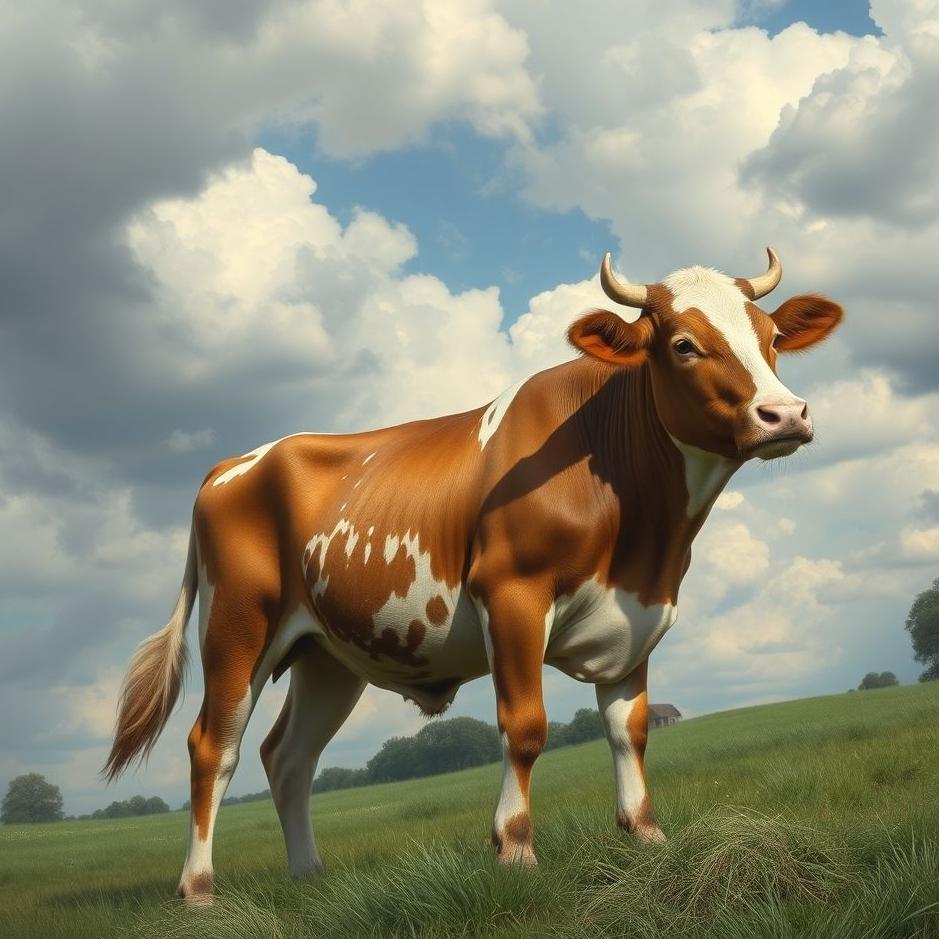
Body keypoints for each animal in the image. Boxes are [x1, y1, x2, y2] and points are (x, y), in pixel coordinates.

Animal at [104, 248, 843, 903]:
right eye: (685, 345)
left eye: (771, 337)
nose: (785, 415)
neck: (644, 530)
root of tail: (235, 462)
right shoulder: (512, 592)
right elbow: (525, 726)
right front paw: (513, 847)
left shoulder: (639, 611)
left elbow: (628, 728)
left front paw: (646, 837)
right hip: (238, 625)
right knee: (213, 747)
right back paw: (198, 888)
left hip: (327, 654)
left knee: (288, 757)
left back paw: (309, 874)